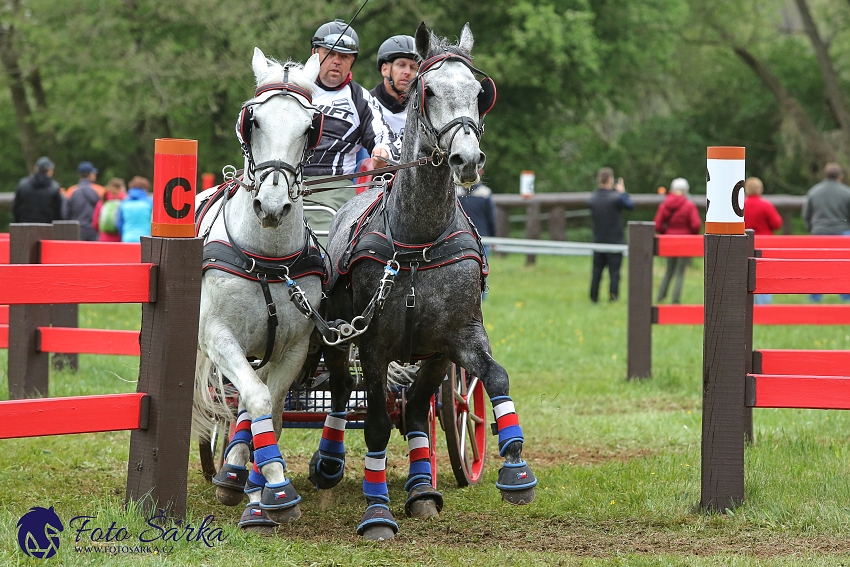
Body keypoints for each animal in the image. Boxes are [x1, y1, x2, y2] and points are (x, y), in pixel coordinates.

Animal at [308, 23, 536, 540]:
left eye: (478, 92)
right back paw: (329, 463)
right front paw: (376, 514)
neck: (418, 241)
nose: (467, 158)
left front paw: (515, 468)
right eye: (428, 90)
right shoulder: (373, 345)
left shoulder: (453, 341)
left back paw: (422, 490)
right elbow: (374, 422)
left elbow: (493, 376)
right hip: (336, 335)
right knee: (339, 389)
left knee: (413, 408)